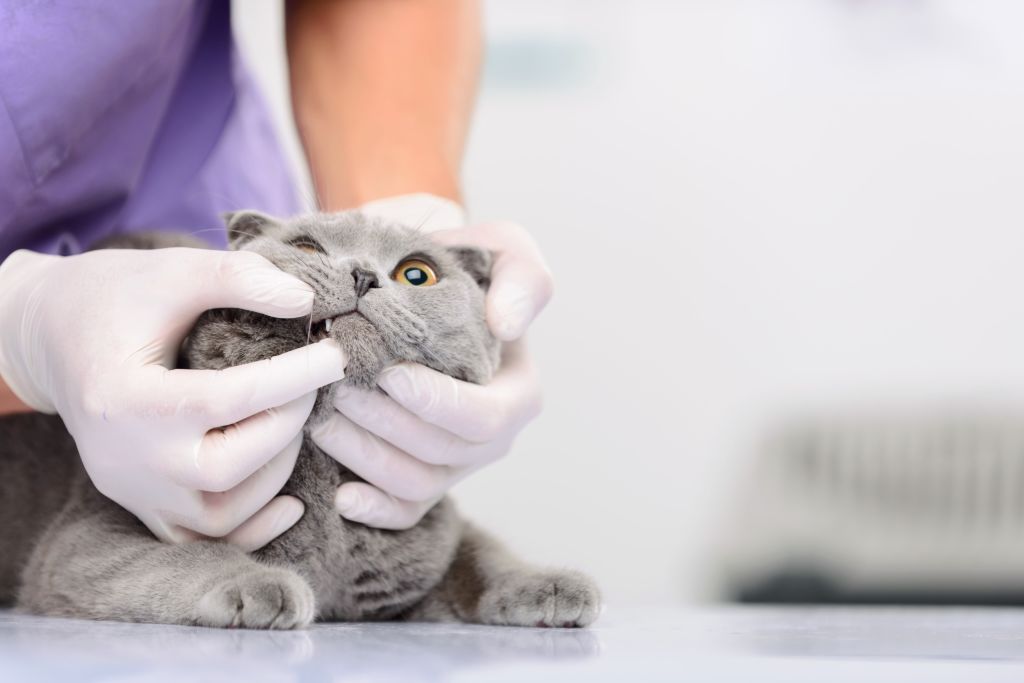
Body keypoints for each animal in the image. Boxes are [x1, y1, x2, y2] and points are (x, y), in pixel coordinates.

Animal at [0, 211, 598, 630]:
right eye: (307, 248)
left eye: (417, 273)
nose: (362, 274)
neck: (329, 481)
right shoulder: (83, 538)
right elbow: (184, 552)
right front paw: (259, 585)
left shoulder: (430, 521)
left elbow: (480, 550)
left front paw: (548, 584)